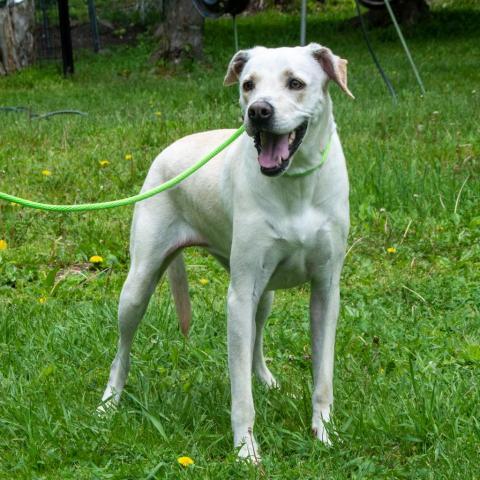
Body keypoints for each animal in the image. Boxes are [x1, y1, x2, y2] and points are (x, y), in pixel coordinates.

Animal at [100, 44, 352, 462]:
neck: (295, 183)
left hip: (263, 296)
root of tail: (168, 150)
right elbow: (241, 397)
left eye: (296, 83)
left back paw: (266, 379)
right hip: (137, 288)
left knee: (255, 338)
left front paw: (324, 434)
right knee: (122, 351)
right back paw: (108, 402)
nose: (259, 111)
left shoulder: (325, 291)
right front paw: (246, 450)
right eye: (248, 84)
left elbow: (324, 378)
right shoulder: (238, 296)